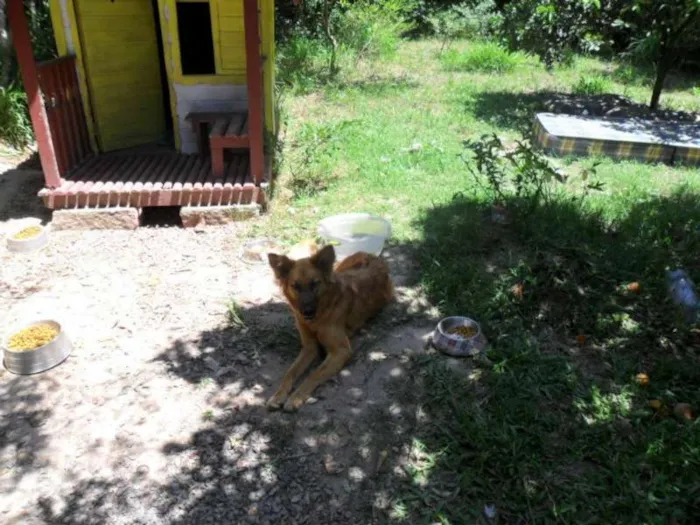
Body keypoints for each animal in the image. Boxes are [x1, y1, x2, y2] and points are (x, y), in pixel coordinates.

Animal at [266, 244, 392, 412]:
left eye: (314, 283)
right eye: (296, 286)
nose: (307, 312)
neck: (317, 320)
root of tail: (371, 255)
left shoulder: (341, 351)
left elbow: (313, 374)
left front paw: (295, 398)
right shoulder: (309, 347)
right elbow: (290, 373)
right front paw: (278, 395)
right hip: (340, 267)